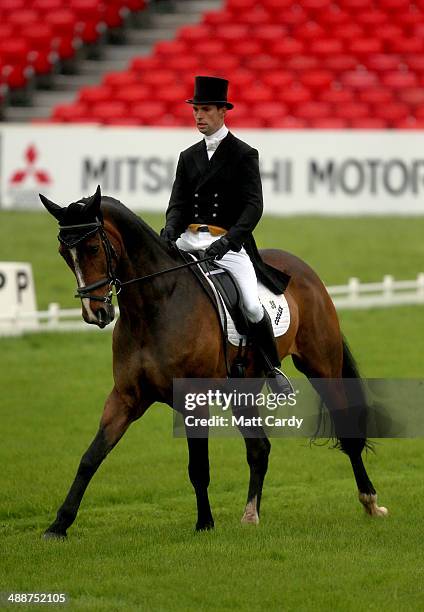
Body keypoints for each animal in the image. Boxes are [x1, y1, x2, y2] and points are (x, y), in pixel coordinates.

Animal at [39, 188, 388, 540]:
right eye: (63, 253)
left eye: (94, 248)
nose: (95, 313)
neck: (155, 306)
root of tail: (303, 269)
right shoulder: (126, 398)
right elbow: (91, 457)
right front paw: (59, 525)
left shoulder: (192, 400)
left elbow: (198, 468)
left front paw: (204, 523)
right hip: (242, 390)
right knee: (259, 448)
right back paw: (251, 514)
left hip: (322, 368)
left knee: (345, 431)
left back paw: (370, 502)